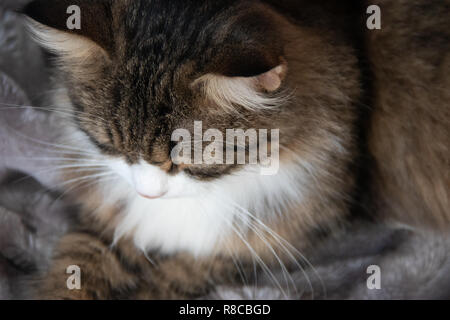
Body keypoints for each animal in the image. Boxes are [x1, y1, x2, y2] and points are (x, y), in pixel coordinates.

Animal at [21, 0, 450, 300]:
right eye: (110, 143)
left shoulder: (251, 242)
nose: (147, 194)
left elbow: (172, 277)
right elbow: (76, 265)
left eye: (188, 159)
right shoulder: (111, 220)